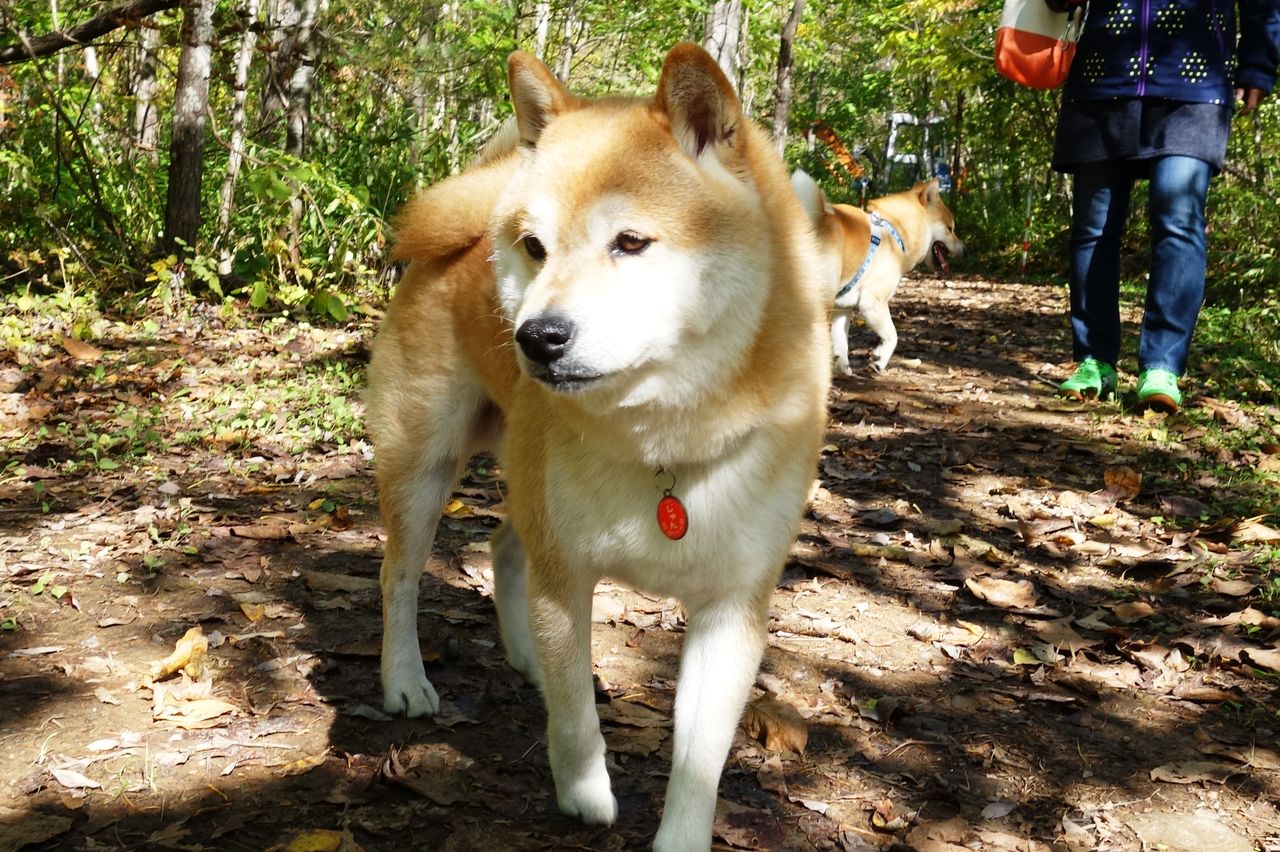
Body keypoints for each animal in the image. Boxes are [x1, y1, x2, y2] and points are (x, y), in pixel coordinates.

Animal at [365, 43, 831, 850]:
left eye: (631, 242)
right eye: (534, 247)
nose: (536, 338)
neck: (663, 445)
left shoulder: (732, 610)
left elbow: (698, 765)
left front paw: (679, 836)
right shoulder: (568, 574)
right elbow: (576, 713)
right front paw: (585, 792)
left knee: (503, 546)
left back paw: (522, 655)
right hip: (425, 468)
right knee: (401, 578)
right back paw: (407, 680)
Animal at [794, 172, 964, 375]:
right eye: (950, 229)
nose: (965, 249)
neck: (896, 231)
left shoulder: (843, 309)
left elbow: (841, 343)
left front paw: (845, 370)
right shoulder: (872, 302)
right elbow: (893, 336)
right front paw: (879, 361)